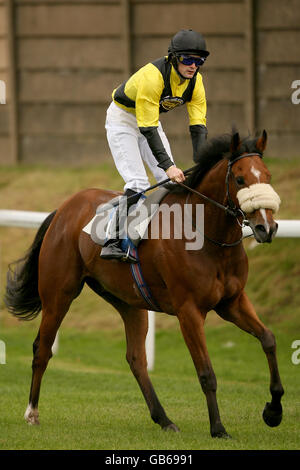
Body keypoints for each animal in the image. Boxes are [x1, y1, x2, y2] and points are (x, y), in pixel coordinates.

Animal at [5, 129, 284, 436]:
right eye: (240, 179)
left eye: (268, 176)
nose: (266, 228)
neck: (207, 236)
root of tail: (63, 208)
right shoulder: (189, 311)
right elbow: (206, 372)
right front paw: (218, 428)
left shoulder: (232, 301)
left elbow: (268, 339)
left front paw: (274, 411)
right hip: (58, 294)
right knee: (42, 348)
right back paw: (32, 412)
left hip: (129, 302)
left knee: (136, 359)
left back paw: (164, 419)